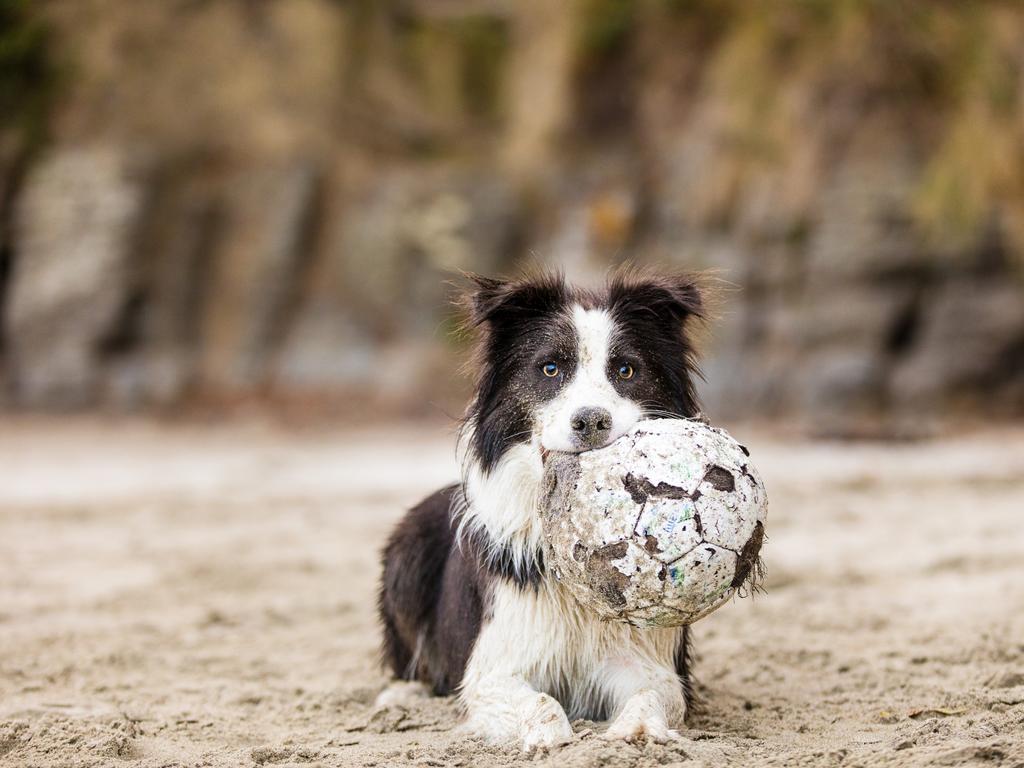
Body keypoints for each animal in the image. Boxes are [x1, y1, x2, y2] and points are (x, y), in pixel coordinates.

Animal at [376, 268, 704, 753]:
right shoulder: (492, 668)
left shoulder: (648, 659)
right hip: (407, 550)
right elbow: (541, 702)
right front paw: (550, 739)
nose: (591, 421)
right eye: (551, 369)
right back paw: (400, 697)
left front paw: (639, 731)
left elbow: (652, 693)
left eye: (626, 370)